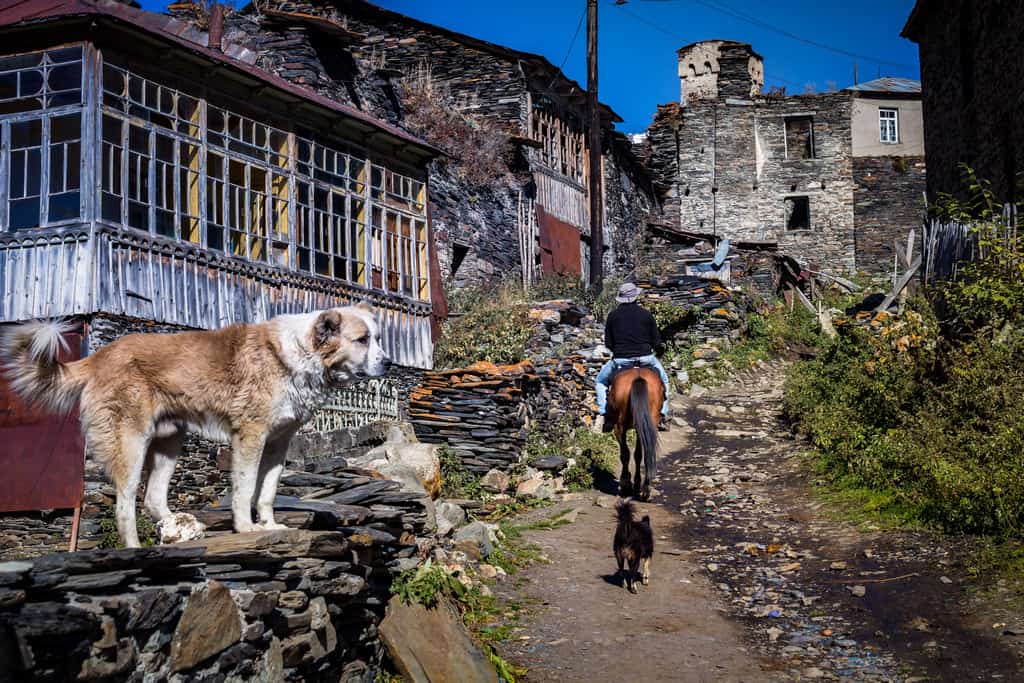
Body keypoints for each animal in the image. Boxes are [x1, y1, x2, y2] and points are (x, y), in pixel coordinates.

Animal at [0, 305, 389, 544]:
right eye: (362, 339)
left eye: (378, 337)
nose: (387, 363)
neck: (301, 353)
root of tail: (99, 356)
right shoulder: (250, 436)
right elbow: (245, 489)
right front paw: (246, 528)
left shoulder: (279, 442)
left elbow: (266, 491)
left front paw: (269, 524)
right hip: (131, 443)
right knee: (125, 505)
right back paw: (137, 548)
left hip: (170, 443)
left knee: (153, 499)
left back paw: (178, 529)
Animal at [606, 368, 663, 501]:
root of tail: (638, 376)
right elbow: (638, 455)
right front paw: (636, 483)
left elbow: (626, 454)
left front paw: (627, 483)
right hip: (648, 422)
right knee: (647, 452)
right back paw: (645, 488)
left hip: (619, 426)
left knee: (625, 454)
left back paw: (627, 485)